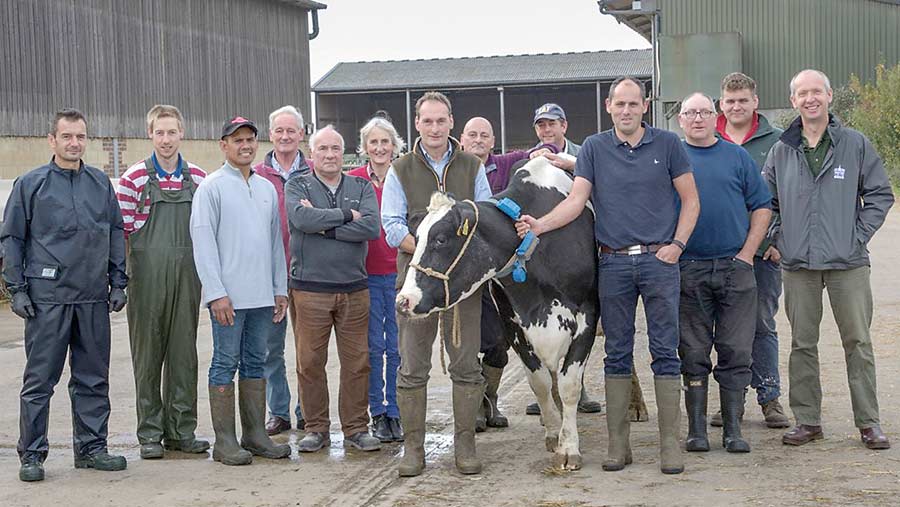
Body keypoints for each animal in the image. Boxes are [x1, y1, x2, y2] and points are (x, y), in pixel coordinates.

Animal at [396, 156, 596, 472]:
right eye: (415, 238)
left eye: (440, 239)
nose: (404, 300)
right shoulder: (513, 324)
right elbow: (539, 382)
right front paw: (554, 433)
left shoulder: (587, 316)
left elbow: (570, 385)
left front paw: (569, 448)